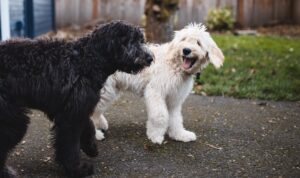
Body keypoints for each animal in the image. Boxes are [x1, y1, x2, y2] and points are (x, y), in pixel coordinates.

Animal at [0, 20, 152, 177]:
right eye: (130, 41)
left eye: (141, 40)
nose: (150, 58)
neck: (86, 61)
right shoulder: (70, 116)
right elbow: (70, 146)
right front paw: (77, 169)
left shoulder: (78, 109)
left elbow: (88, 126)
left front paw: (91, 148)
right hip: (13, 120)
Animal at [91, 23, 225, 144]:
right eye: (183, 39)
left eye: (198, 42)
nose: (186, 50)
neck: (175, 65)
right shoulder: (155, 91)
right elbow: (160, 116)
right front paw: (155, 136)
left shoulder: (174, 99)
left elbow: (175, 118)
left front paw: (179, 134)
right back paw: (95, 134)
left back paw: (100, 124)